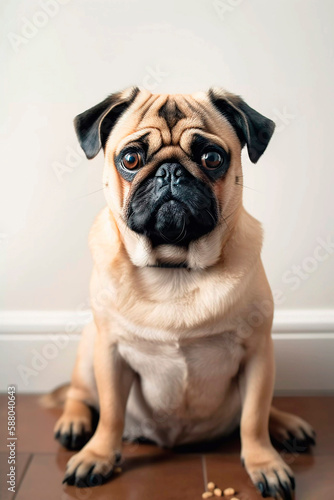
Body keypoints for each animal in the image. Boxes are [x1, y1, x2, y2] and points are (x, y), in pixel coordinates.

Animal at [53, 88, 314, 498]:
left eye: (212, 158)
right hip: (89, 346)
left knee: (258, 410)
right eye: (130, 159)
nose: (170, 171)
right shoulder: (110, 353)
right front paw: (98, 455)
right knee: (80, 394)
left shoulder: (258, 354)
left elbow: (254, 418)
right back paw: (74, 424)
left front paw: (264, 463)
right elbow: (110, 414)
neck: (175, 267)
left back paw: (286, 425)